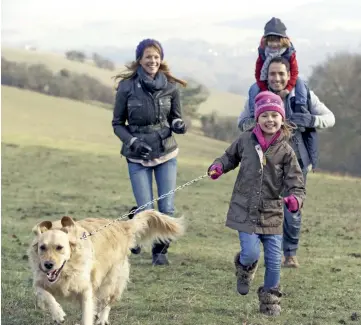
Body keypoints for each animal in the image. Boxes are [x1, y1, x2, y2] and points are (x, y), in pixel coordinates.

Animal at [28, 209, 184, 322]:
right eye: (42, 247)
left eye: (60, 247)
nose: (48, 265)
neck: (66, 271)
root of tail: (121, 225)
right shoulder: (39, 281)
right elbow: (46, 295)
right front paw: (58, 313)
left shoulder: (86, 289)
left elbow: (87, 315)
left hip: (111, 280)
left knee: (107, 302)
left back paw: (102, 319)